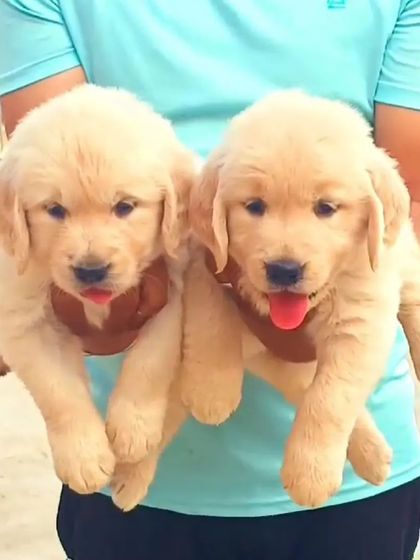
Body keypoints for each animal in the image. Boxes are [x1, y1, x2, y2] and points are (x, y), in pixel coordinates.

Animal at [0, 84, 195, 510]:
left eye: (125, 206)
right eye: (54, 209)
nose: (91, 270)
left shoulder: (170, 292)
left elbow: (151, 363)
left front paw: (134, 428)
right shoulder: (23, 316)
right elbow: (57, 391)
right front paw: (83, 457)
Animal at [180, 89, 420, 508]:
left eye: (326, 208)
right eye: (254, 206)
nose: (284, 270)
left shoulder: (361, 320)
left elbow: (329, 398)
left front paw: (311, 474)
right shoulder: (207, 262)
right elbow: (210, 308)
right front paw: (212, 387)